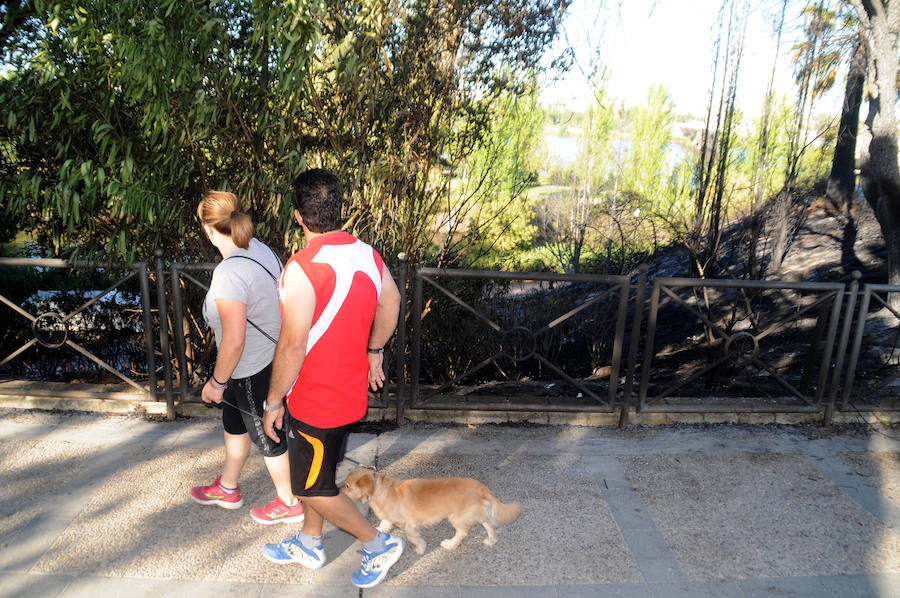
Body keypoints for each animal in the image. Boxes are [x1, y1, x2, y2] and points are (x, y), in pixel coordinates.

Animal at [342, 468, 524, 556]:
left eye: (347, 485)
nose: (339, 490)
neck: (381, 490)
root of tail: (482, 488)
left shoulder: (409, 524)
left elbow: (413, 538)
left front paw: (420, 548)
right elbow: (385, 522)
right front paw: (381, 529)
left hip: (456, 518)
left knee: (462, 533)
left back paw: (450, 544)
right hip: (476, 515)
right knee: (489, 525)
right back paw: (491, 540)